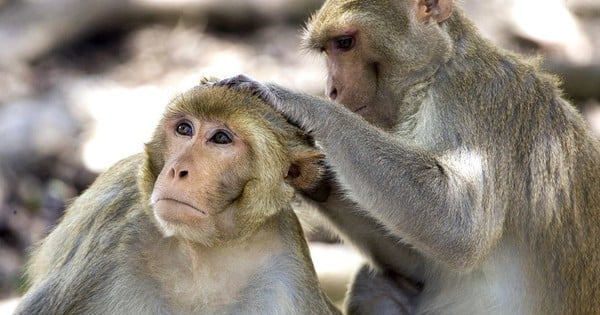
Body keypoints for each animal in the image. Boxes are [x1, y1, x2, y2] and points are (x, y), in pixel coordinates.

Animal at [14, 81, 340, 315]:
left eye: (221, 138)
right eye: (184, 129)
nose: (176, 170)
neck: (205, 253)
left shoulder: (287, 270)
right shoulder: (115, 232)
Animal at [216, 0, 600, 314]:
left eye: (344, 43)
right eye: (327, 49)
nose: (332, 90)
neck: (434, 76)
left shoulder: (476, 100)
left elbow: (460, 227)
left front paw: (297, 104)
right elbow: (416, 262)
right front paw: (308, 175)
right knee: (374, 285)